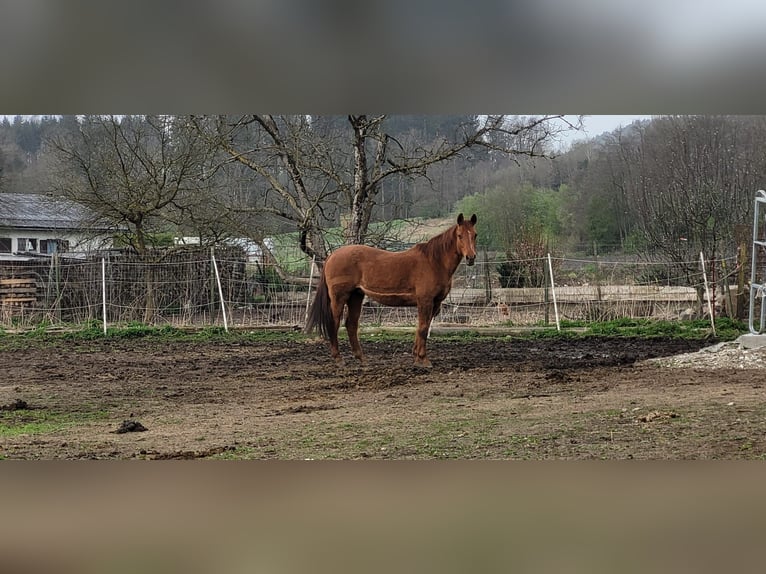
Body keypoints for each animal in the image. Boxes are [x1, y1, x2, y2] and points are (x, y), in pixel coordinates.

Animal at [308, 214, 476, 366]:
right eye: (460, 236)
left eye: (475, 235)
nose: (471, 258)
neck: (434, 262)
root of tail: (332, 255)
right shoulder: (425, 301)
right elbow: (422, 328)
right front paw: (423, 359)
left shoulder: (435, 303)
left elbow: (423, 327)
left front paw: (416, 357)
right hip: (339, 298)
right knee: (334, 323)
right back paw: (338, 358)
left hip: (356, 296)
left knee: (351, 325)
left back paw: (361, 358)